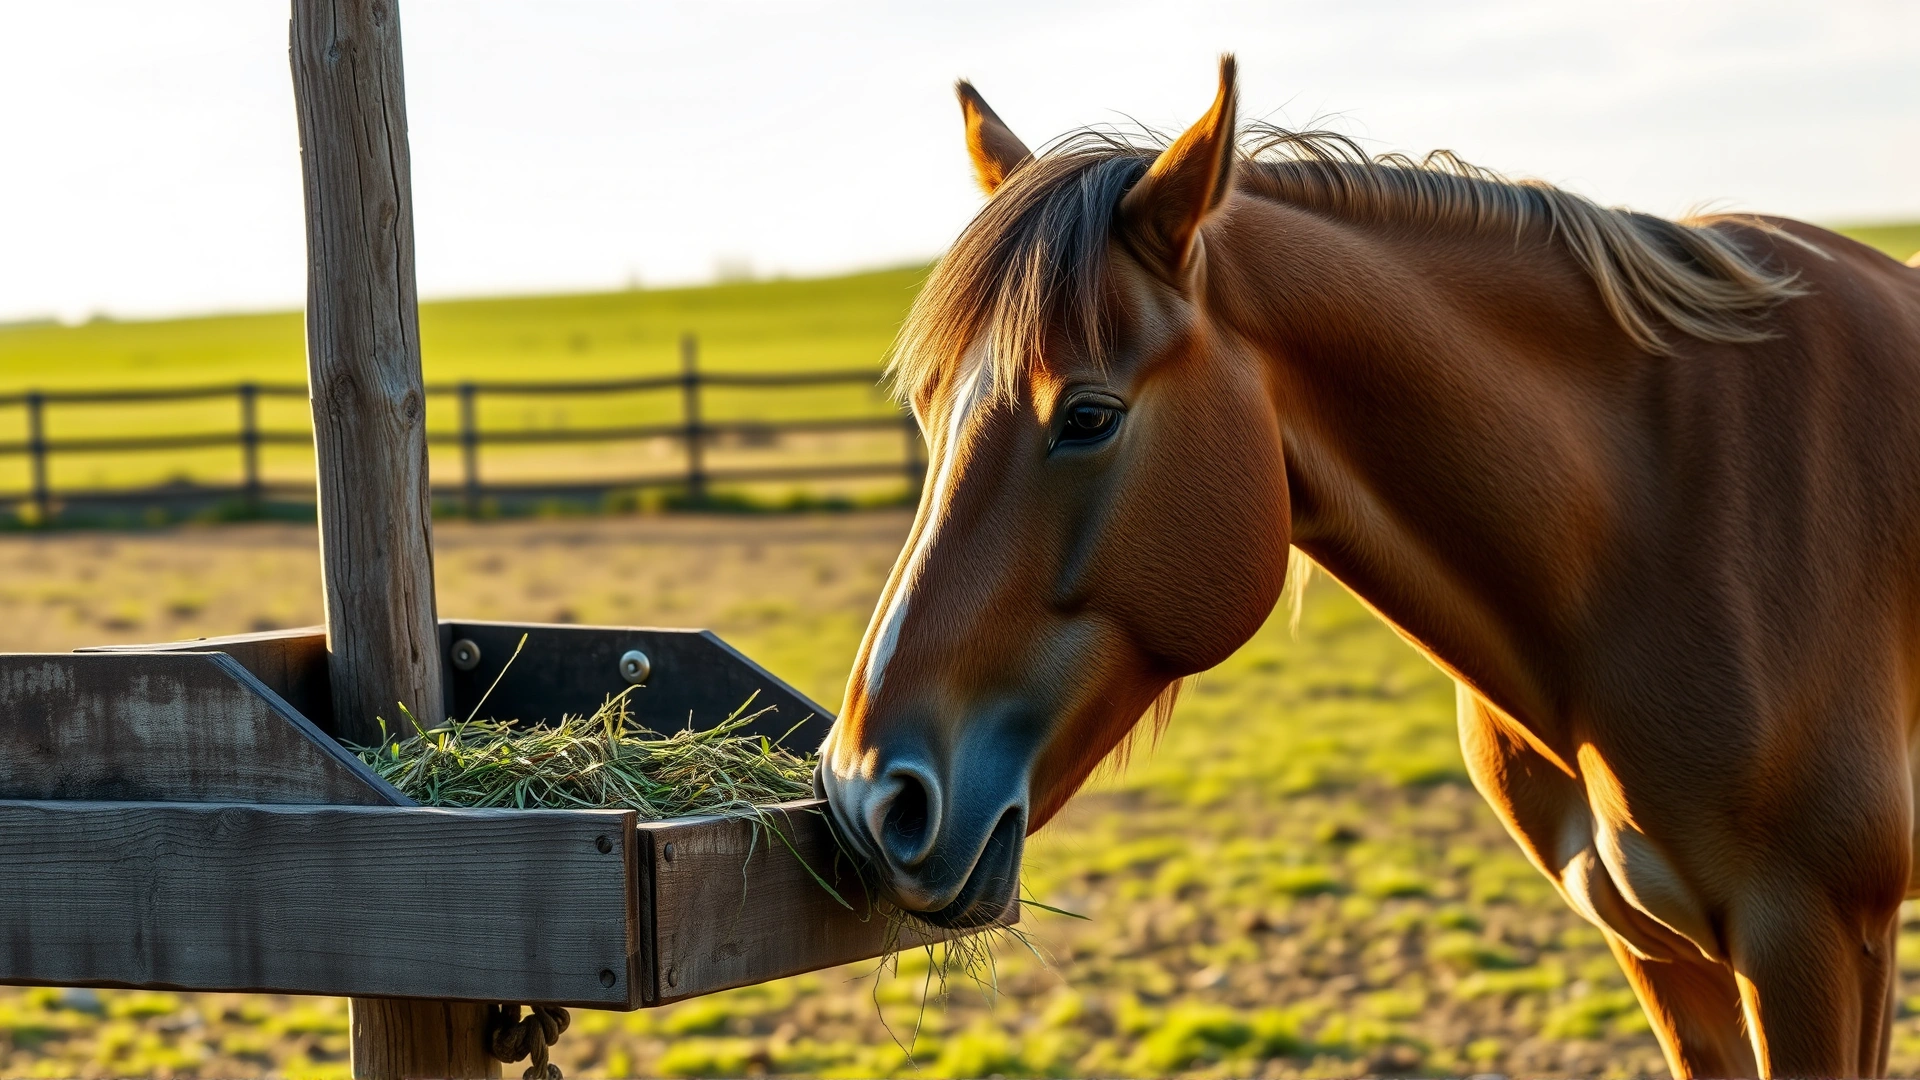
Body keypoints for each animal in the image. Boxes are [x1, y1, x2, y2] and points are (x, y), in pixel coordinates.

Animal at [816, 55, 1920, 1077]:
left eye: (1087, 415)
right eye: (926, 410)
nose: (868, 797)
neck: (1654, 524)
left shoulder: (1818, 946)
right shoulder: (1656, 950)